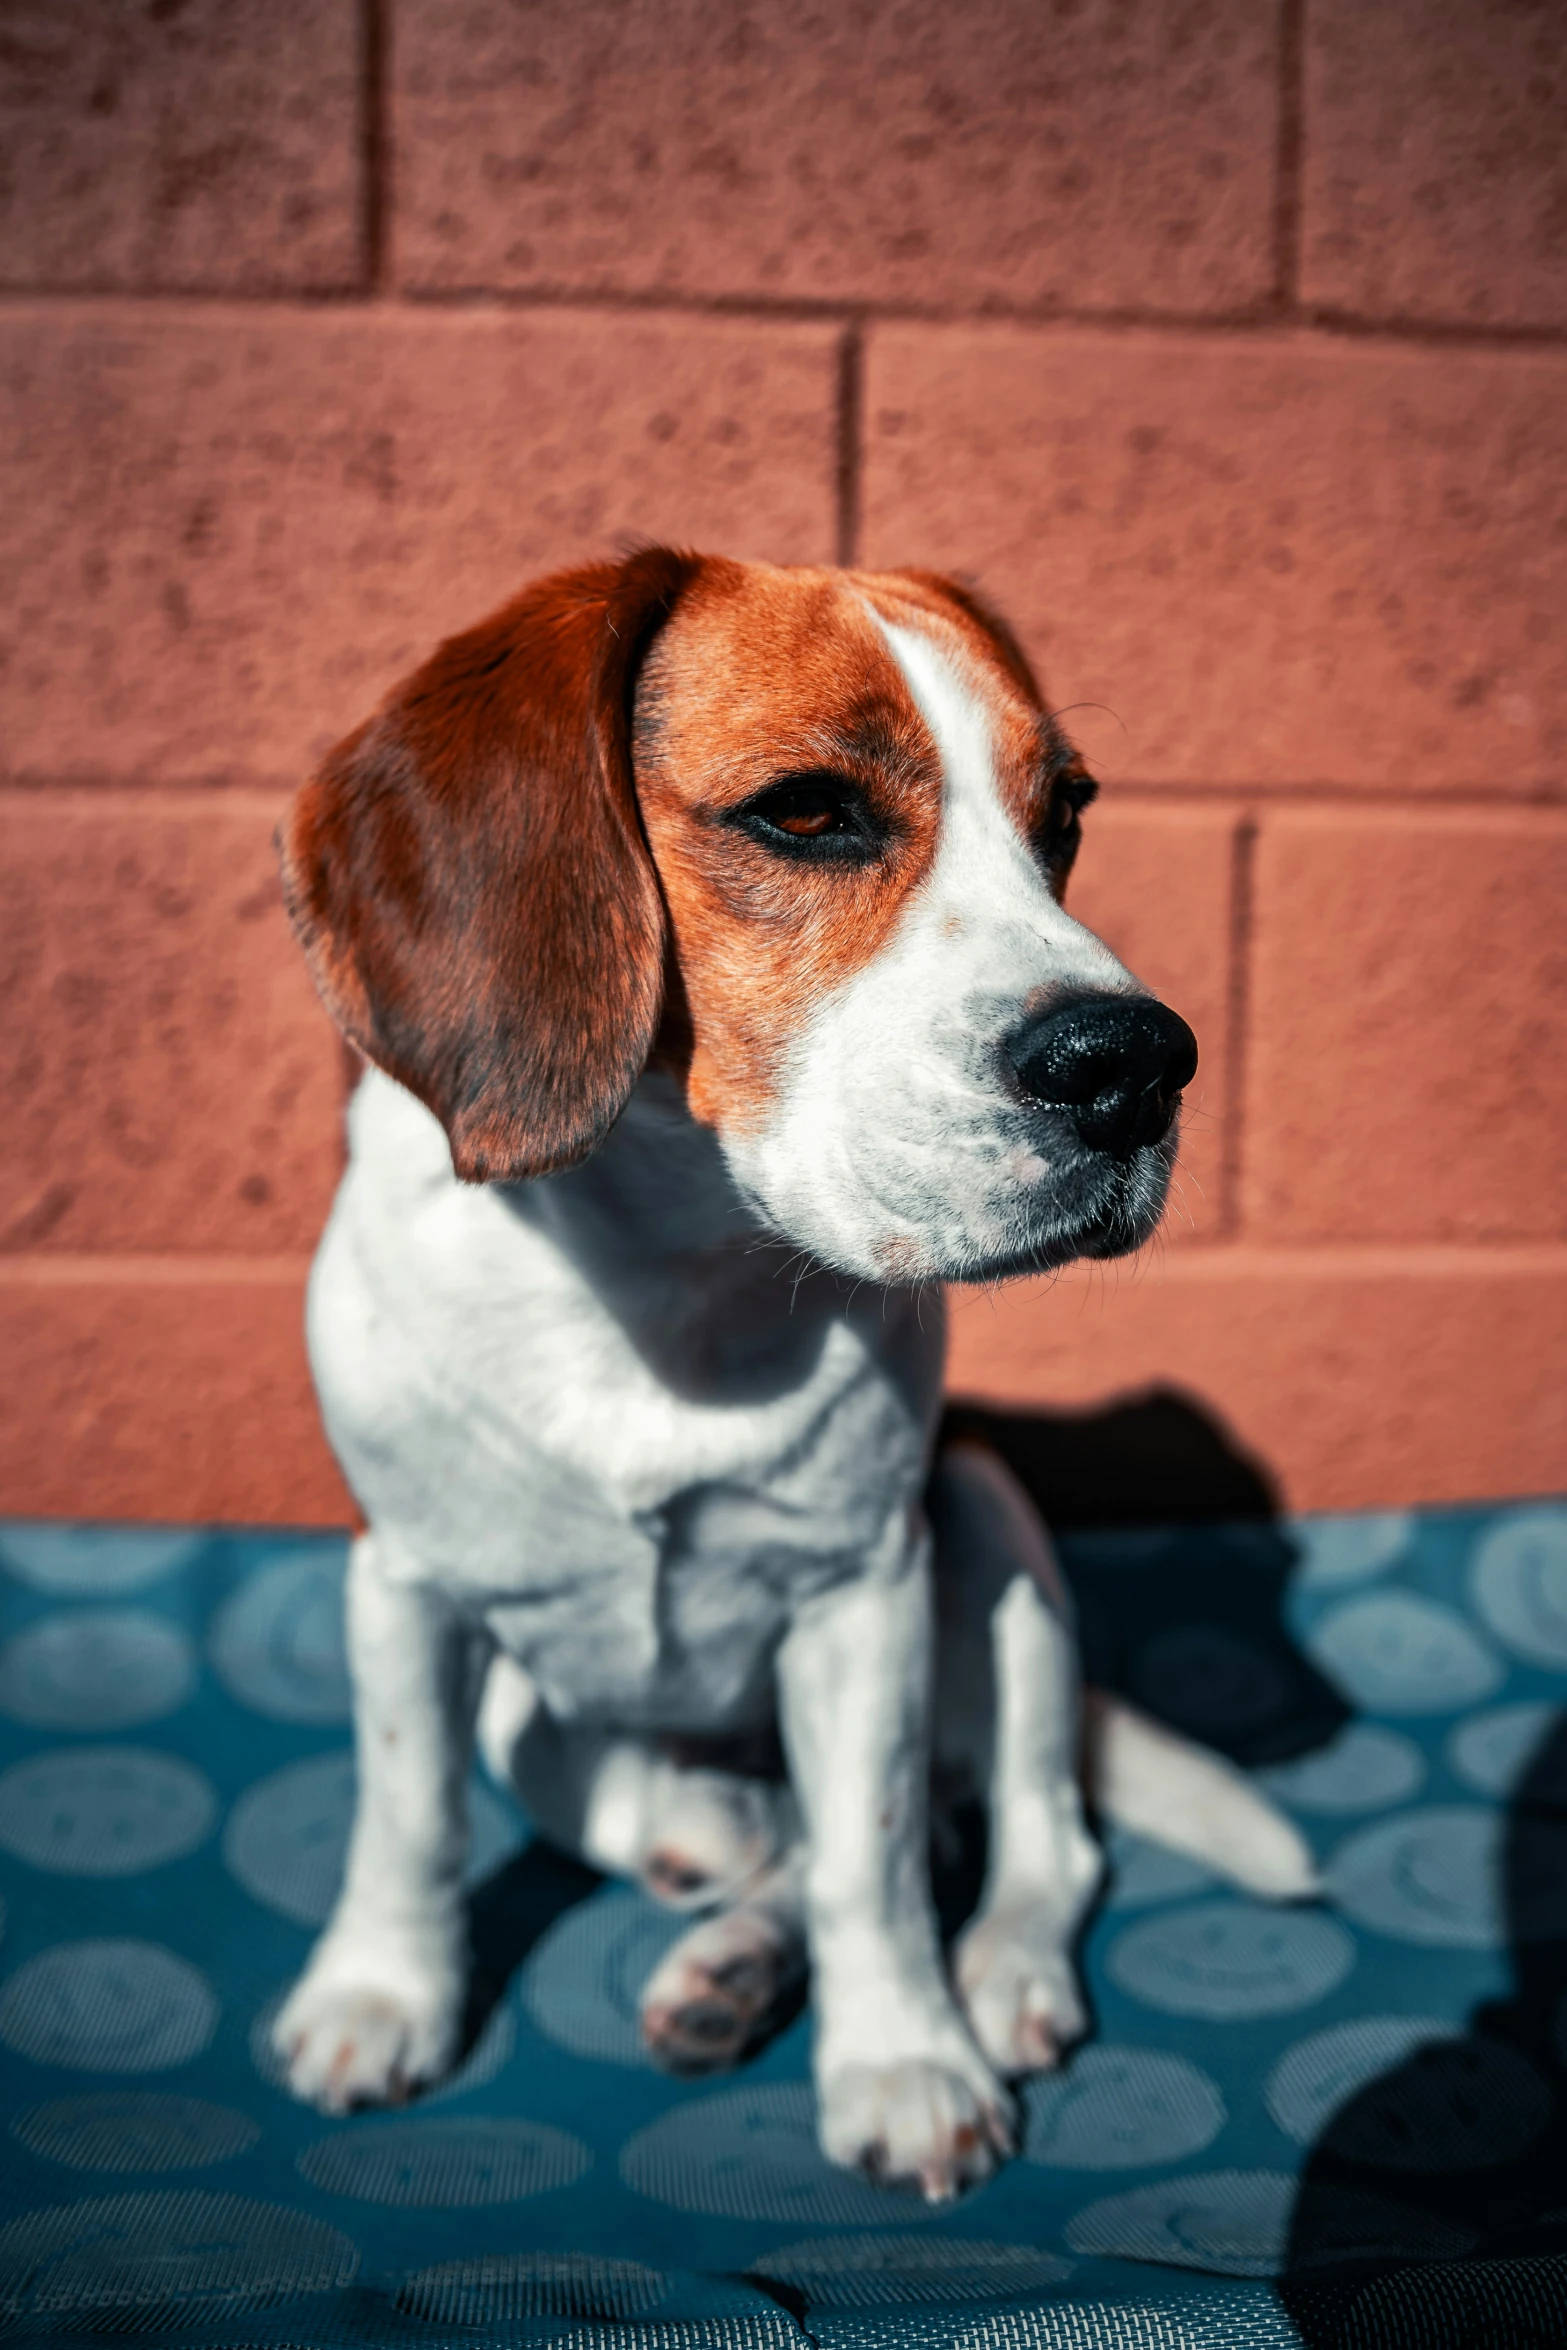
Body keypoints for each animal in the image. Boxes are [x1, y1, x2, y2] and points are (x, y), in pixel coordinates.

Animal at [276, 549, 1315, 2199]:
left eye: (1063, 818)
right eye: (807, 812)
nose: (1138, 1065)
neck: (662, 1271)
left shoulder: (861, 1591)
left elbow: (873, 1859)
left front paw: (901, 2057)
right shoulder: (407, 1583)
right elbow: (406, 1809)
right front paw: (381, 1990)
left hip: (991, 1526)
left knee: (1016, 1829)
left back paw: (994, 1972)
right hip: (540, 1724)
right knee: (749, 1836)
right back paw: (724, 1926)